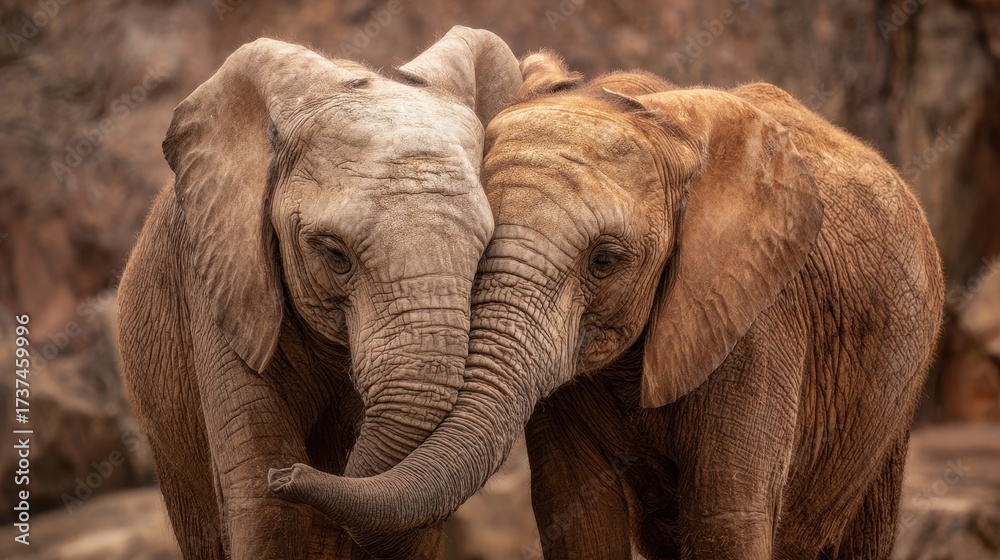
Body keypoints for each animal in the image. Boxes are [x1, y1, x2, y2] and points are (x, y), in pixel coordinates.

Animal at [116, 27, 521, 560]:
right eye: (333, 253)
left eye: (482, 257)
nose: (290, 476)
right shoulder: (219, 281)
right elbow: (266, 510)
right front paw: (274, 480)